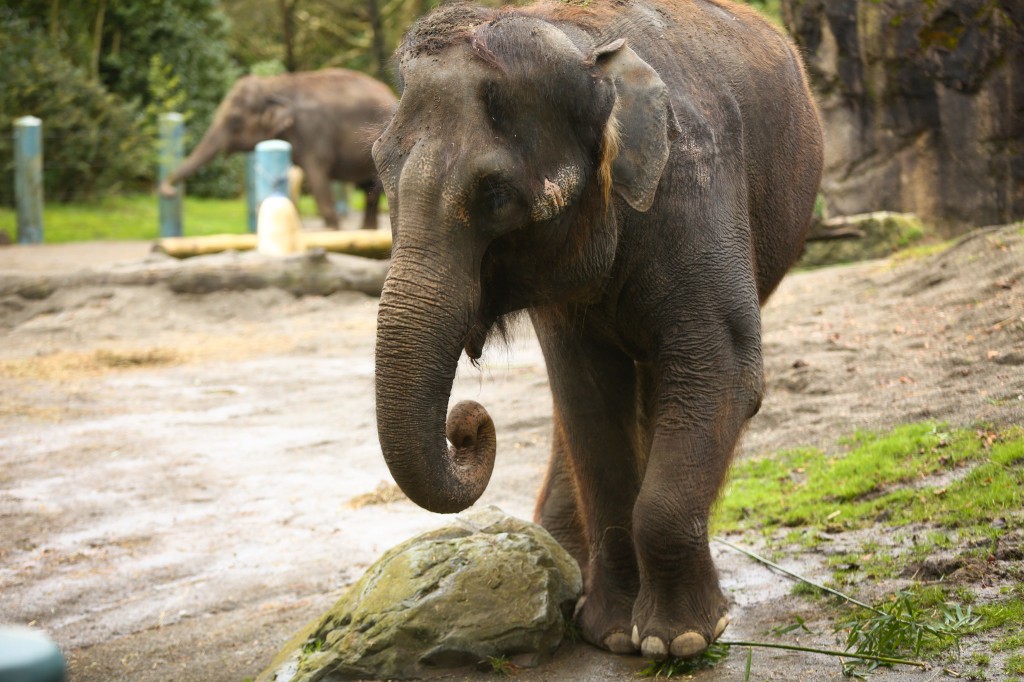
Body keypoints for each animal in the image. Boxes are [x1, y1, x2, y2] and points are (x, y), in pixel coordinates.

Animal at [159, 67, 395, 229]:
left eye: (234, 120)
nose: (170, 190)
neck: (274, 85)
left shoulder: (314, 133)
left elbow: (318, 181)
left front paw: (333, 233)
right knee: (369, 191)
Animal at [368, 0, 823, 659]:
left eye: (495, 195)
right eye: (379, 171)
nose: (466, 424)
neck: (580, 49)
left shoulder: (696, 187)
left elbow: (723, 370)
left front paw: (676, 642)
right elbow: (588, 403)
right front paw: (610, 633)